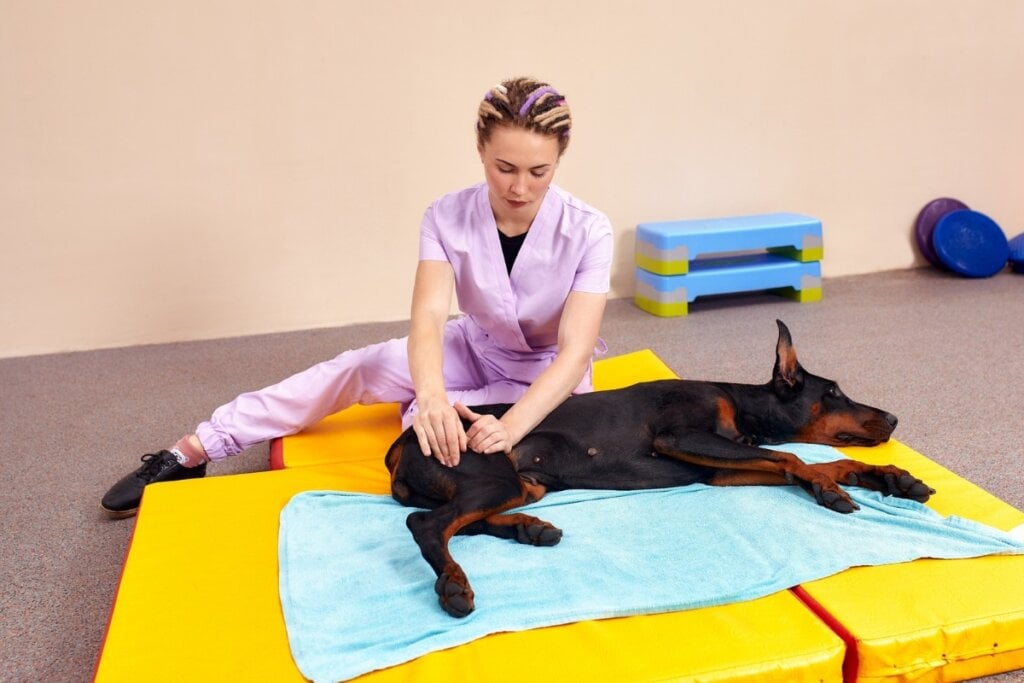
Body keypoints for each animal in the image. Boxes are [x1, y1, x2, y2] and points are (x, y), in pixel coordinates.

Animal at [385, 321, 937, 618]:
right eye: (834, 392)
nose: (893, 418)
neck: (741, 406)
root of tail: (404, 442)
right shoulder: (682, 439)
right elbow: (796, 458)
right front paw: (828, 488)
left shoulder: (722, 466)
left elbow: (806, 461)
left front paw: (892, 477)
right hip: (490, 473)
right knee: (428, 524)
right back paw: (455, 584)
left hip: (525, 483)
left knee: (467, 521)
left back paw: (530, 529)